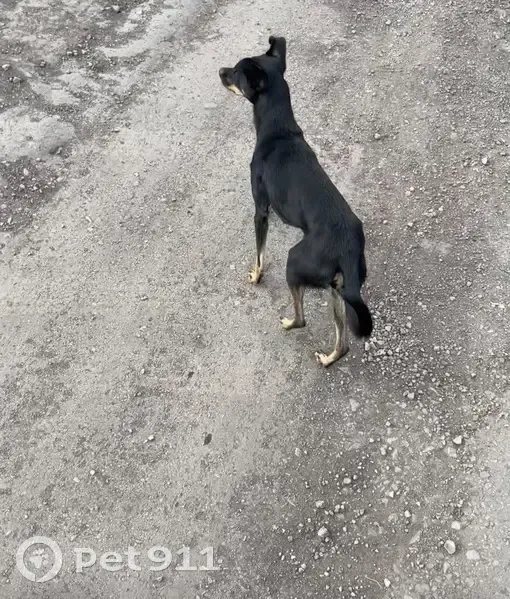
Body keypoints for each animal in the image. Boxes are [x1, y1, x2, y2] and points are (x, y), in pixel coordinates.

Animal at [219, 36, 373, 367]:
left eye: (235, 72)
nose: (220, 71)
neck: (278, 129)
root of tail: (348, 248)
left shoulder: (260, 209)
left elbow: (260, 253)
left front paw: (256, 276)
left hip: (295, 262)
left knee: (302, 319)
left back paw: (289, 322)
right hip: (337, 289)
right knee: (343, 342)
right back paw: (328, 358)